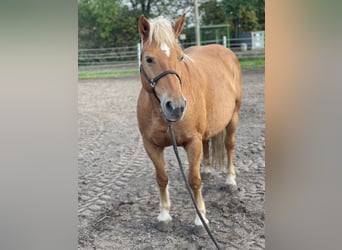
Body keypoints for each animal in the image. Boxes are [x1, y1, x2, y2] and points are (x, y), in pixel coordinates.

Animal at [136, 13, 243, 227]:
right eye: (148, 59)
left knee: (229, 146)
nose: (176, 107)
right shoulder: (151, 144)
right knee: (207, 143)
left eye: (180, 57)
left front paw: (200, 218)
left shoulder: (192, 142)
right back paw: (208, 169)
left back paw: (230, 180)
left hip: (233, 118)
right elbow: (162, 178)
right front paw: (164, 214)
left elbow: (194, 180)